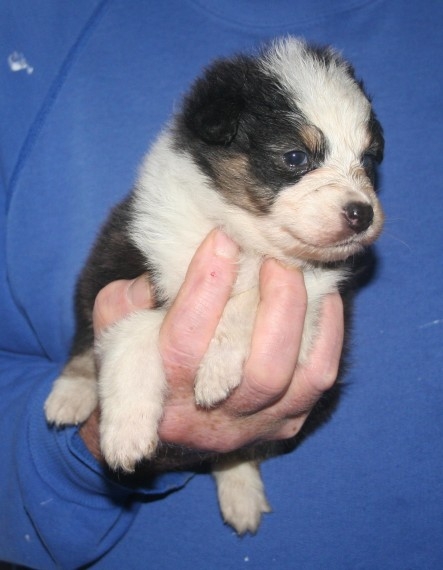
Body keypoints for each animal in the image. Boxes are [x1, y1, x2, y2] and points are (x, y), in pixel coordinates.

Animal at [46, 38, 386, 532]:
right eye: (296, 157)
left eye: (368, 160)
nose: (362, 213)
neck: (247, 237)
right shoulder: (128, 258)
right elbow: (134, 330)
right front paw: (126, 433)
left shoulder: (317, 301)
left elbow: (252, 298)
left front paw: (217, 369)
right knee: (82, 345)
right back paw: (69, 396)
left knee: (239, 450)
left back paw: (241, 493)